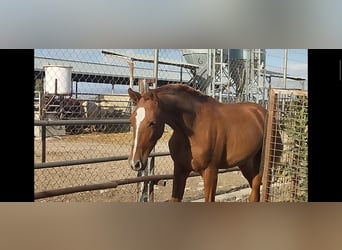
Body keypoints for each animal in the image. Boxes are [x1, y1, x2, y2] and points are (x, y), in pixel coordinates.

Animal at [128, 83, 268, 201]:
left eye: (152, 122)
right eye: (132, 120)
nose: (135, 163)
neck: (193, 130)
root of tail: (262, 111)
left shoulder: (210, 172)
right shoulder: (180, 169)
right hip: (245, 163)